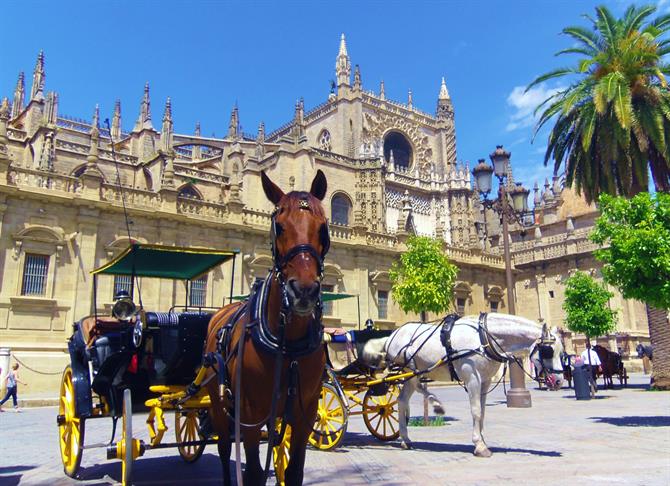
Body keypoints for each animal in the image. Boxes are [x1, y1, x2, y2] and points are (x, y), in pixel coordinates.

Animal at [206, 169, 330, 484]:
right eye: (280, 227)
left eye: (323, 227)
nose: (303, 291)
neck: (288, 347)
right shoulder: (250, 413)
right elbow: (252, 472)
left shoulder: (305, 413)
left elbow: (294, 470)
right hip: (216, 400)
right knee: (224, 447)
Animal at [362, 314, 568, 458]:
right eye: (548, 351)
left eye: (562, 353)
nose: (559, 381)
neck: (484, 338)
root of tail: (391, 336)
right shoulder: (472, 378)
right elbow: (475, 411)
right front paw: (479, 446)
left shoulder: (484, 381)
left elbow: (482, 412)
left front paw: (483, 440)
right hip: (409, 371)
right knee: (414, 391)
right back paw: (435, 405)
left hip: (411, 374)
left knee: (402, 400)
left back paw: (406, 439)